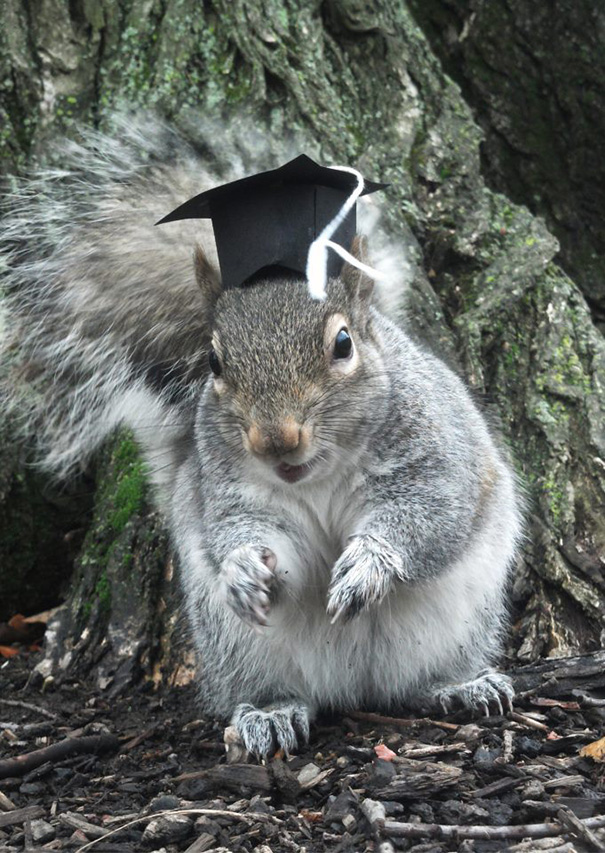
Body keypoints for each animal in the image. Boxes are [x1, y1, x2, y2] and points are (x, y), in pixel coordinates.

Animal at [1, 115, 522, 757]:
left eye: (343, 344)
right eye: (213, 363)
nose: (277, 441)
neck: (318, 473)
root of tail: (356, 688)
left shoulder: (435, 455)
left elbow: (428, 514)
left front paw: (367, 566)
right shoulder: (232, 490)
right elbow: (250, 534)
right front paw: (246, 568)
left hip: (459, 620)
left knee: (423, 678)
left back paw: (461, 685)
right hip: (242, 648)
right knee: (279, 690)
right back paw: (269, 715)